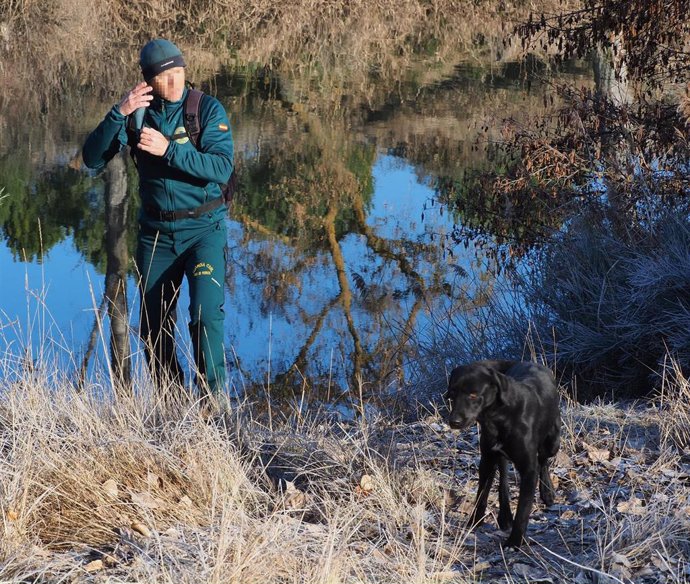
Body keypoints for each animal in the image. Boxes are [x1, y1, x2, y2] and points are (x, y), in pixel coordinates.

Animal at [446, 360, 560, 548]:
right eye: (453, 393)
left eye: (473, 394)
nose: (454, 421)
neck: (499, 417)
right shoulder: (487, 459)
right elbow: (481, 495)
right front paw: (474, 523)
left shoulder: (529, 469)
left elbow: (523, 508)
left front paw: (514, 542)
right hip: (499, 455)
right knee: (504, 476)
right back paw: (505, 516)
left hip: (553, 442)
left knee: (543, 460)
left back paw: (547, 492)